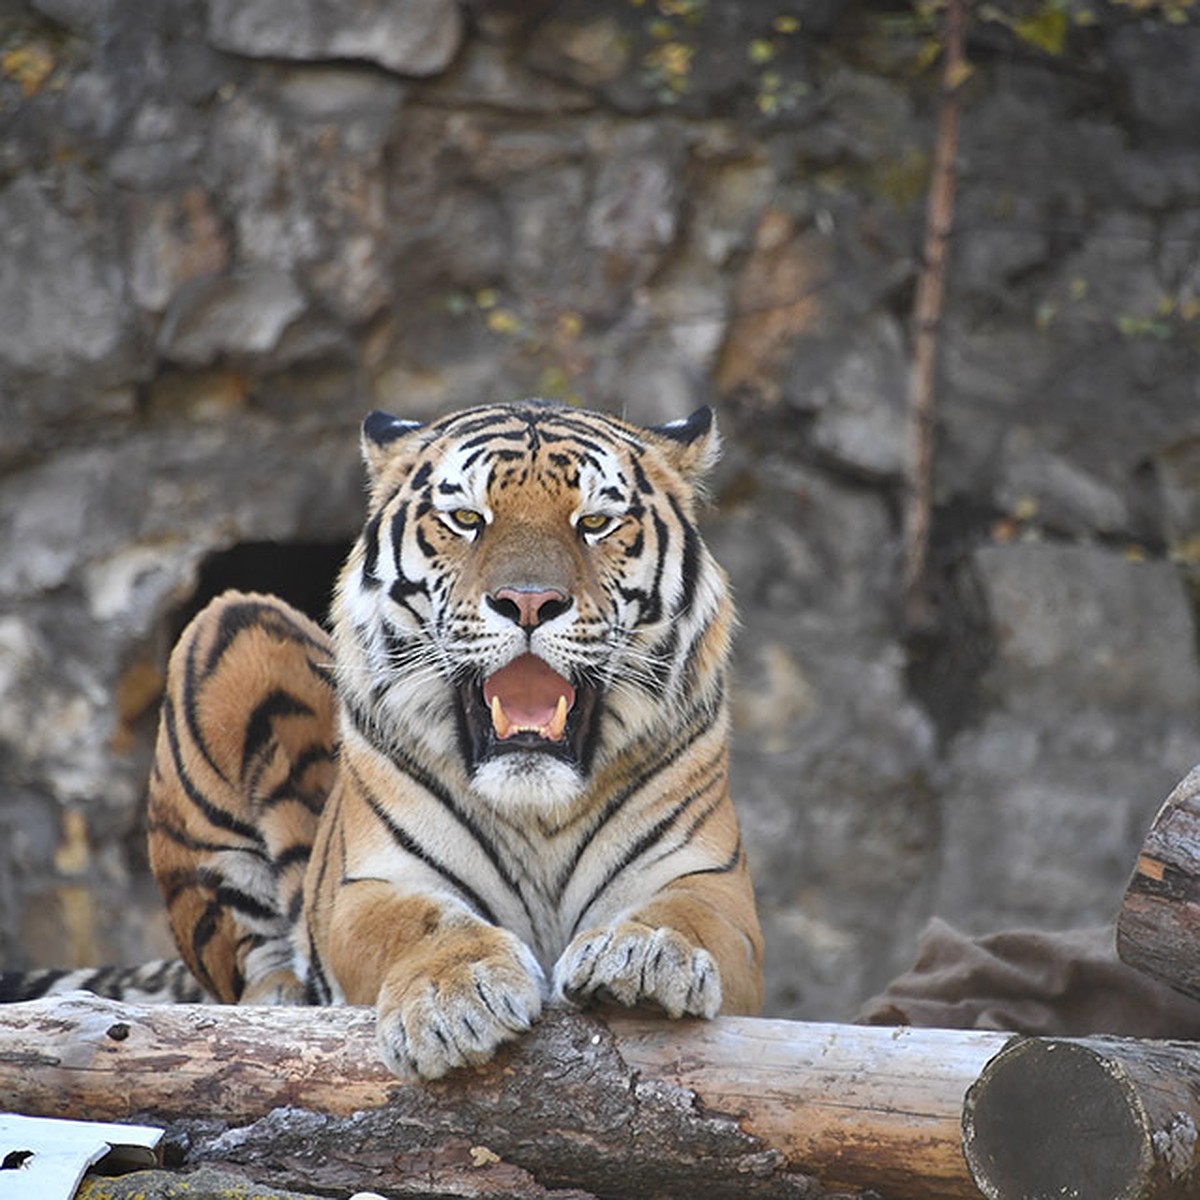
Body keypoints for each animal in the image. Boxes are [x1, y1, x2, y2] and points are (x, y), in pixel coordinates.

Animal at [4, 400, 763, 1080]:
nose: (528, 602)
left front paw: (646, 957)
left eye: (596, 523)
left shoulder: (712, 881)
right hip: (229, 625)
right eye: (467, 520)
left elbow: (689, 914)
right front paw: (455, 999)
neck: (536, 809)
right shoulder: (371, 884)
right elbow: (422, 924)